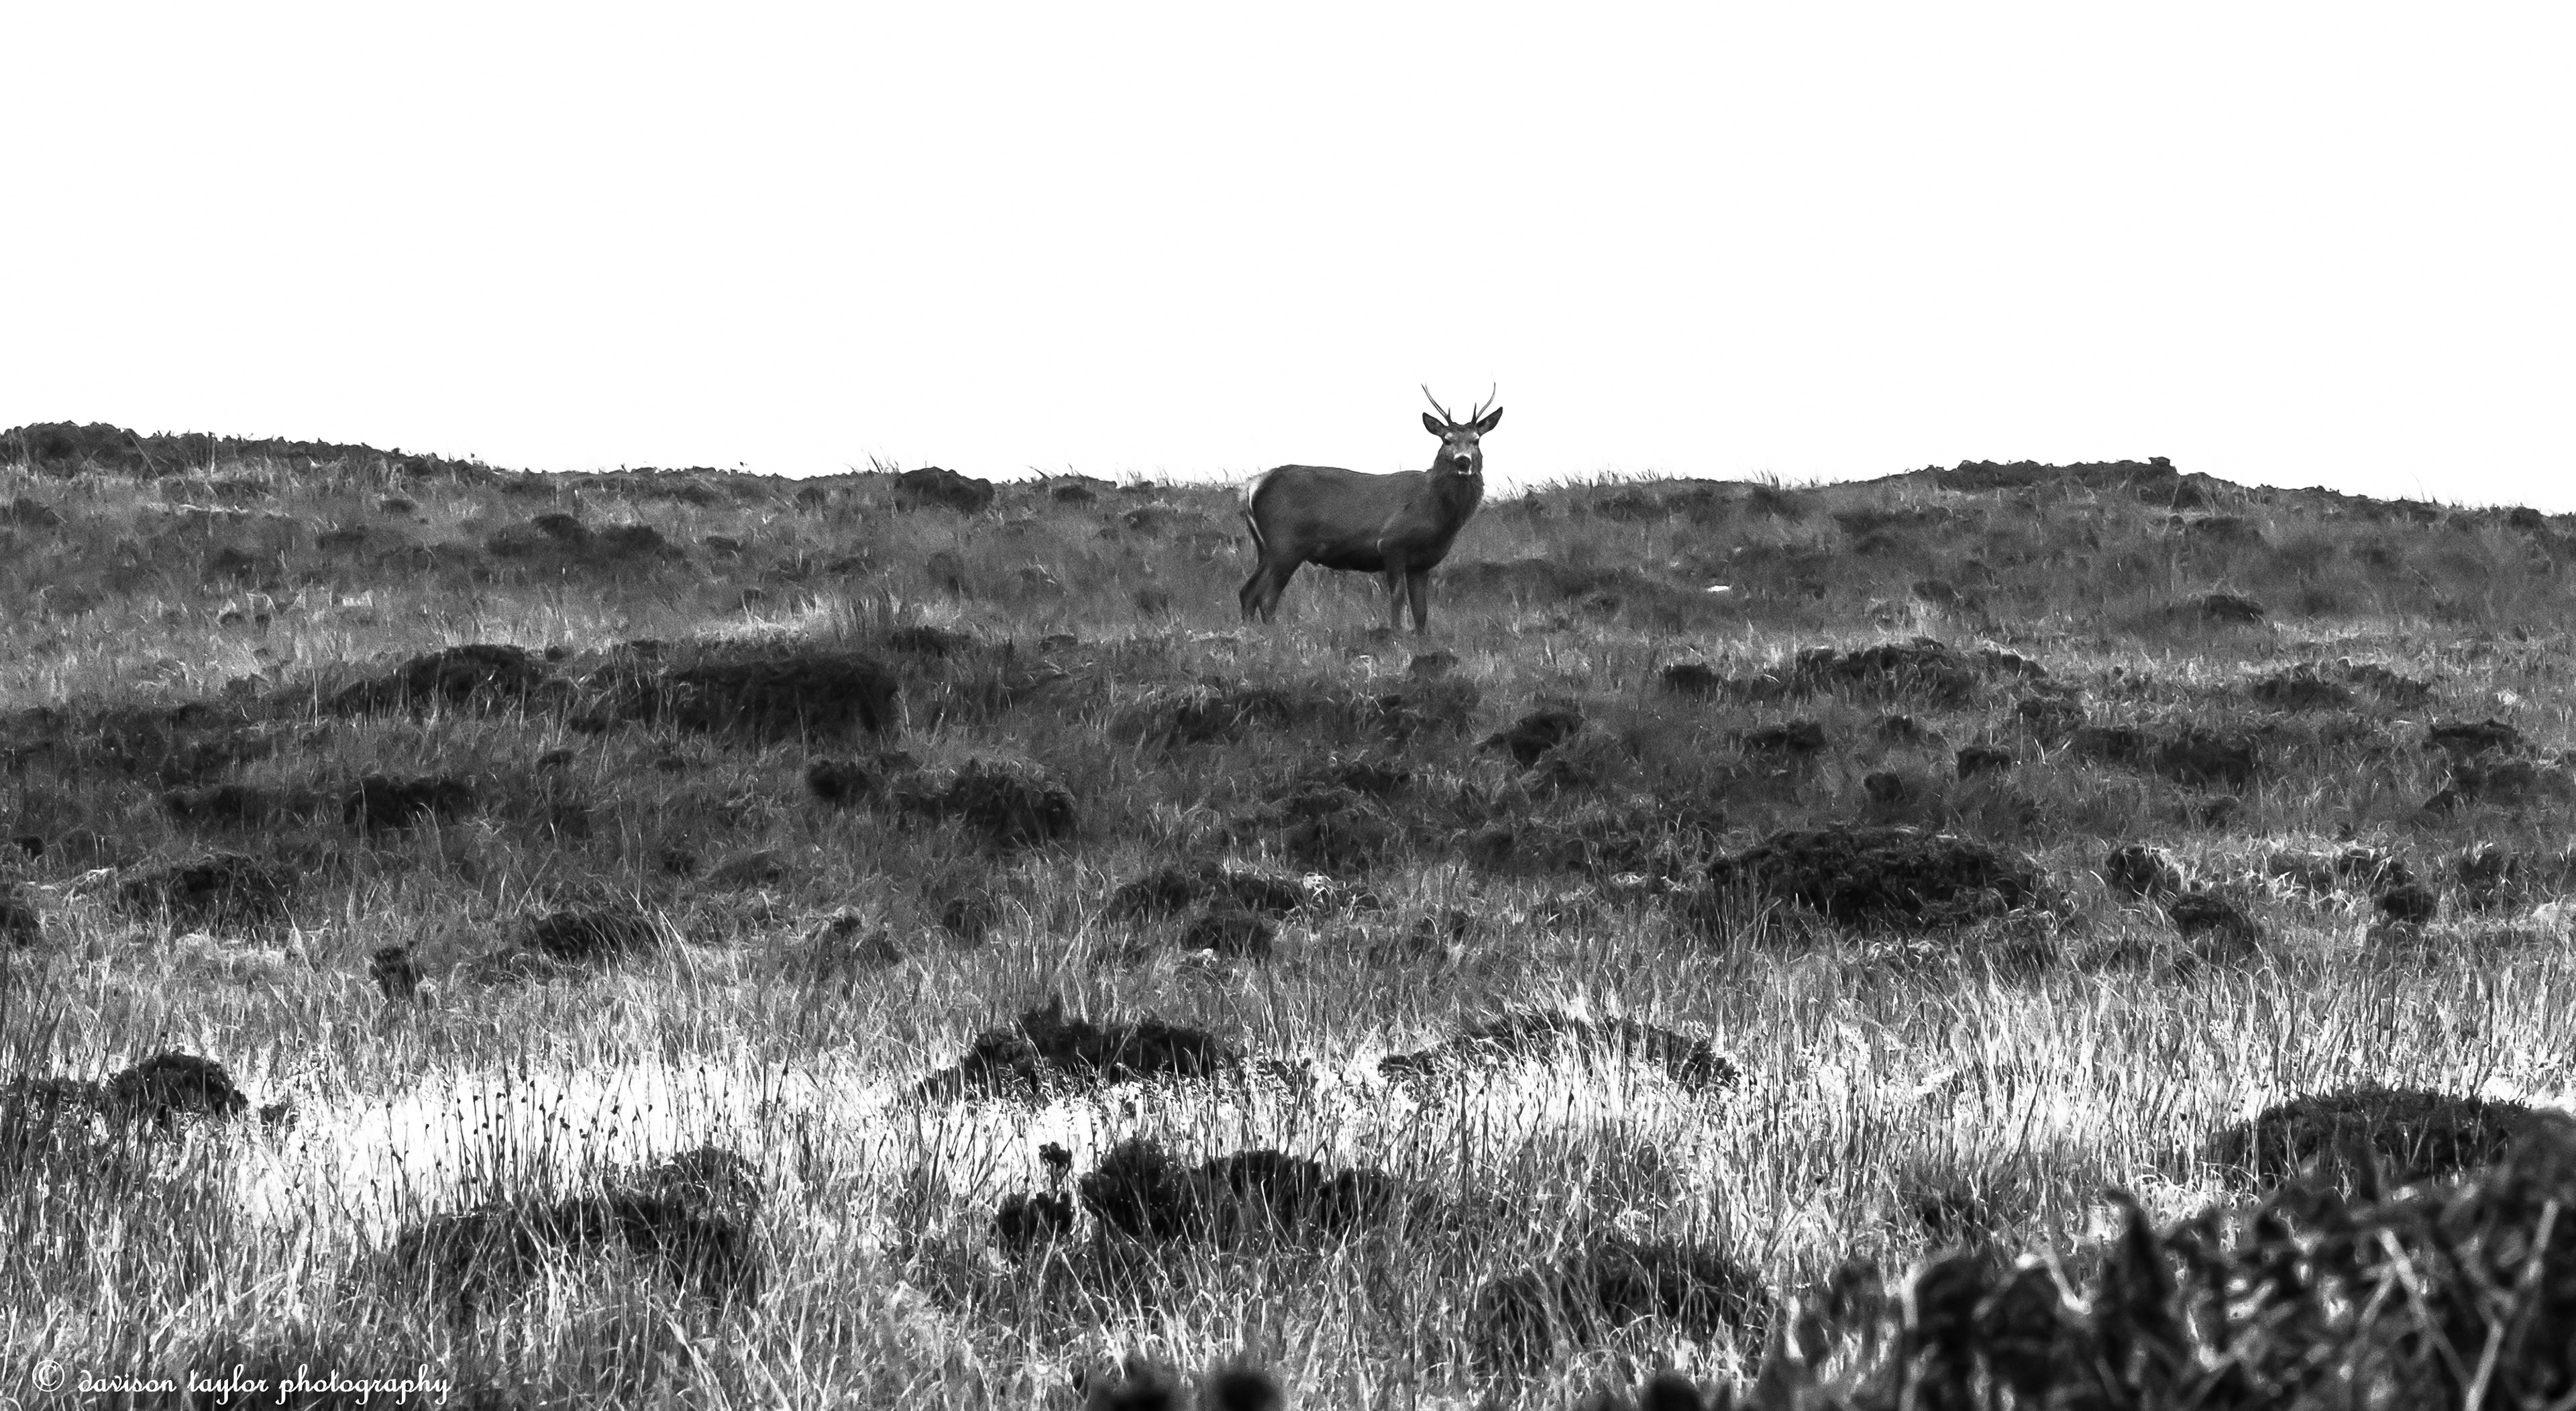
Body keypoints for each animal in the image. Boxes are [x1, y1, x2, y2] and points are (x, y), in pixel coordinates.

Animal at [1237, 386, 1501, 633]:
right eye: (1446, 440)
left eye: (1476, 440)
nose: (1463, 461)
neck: (1435, 510)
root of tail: (1253, 486)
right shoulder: (1392, 543)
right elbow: (1398, 597)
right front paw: (1396, 633)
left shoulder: (1422, 563)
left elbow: (1421, 610)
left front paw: (1420, 639)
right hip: (1286, 543)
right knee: (1266, 596)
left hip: (1267, 548)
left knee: (1247, 592)